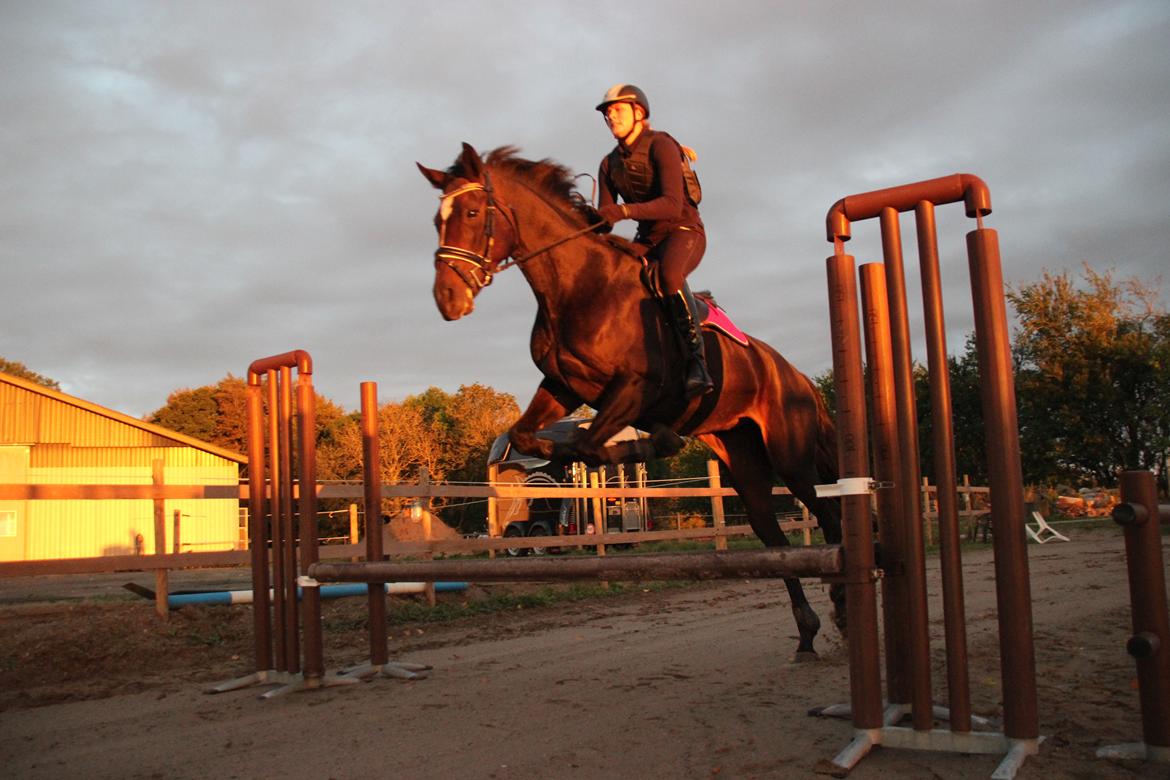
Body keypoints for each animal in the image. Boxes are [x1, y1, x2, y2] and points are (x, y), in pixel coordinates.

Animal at [416, 145, 847, 659]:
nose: (447, 299)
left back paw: (844, 609)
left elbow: (589, 445)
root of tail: (796, 375)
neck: (579, 286)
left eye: (471, 213)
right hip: (743, 461)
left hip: (790, 457)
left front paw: (635, 449)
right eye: (436, 220)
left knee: (828, 512)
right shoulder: (564, 387)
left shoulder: (633, 388)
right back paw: (807, 632)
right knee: (773, 535)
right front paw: (583, 457)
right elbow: (533, 436)